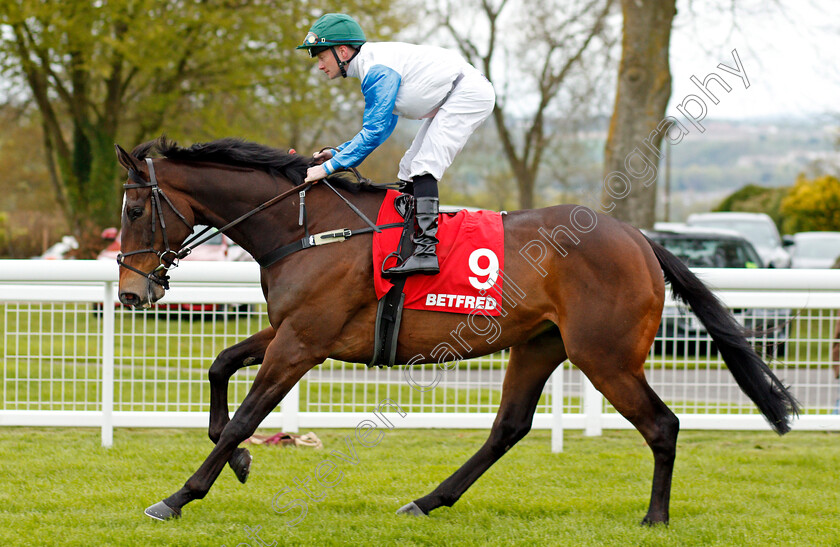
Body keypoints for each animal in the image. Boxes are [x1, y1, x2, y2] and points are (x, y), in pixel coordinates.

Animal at [115, 137, 796, 528]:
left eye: (134, 208)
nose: (130, 292)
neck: (308, 229)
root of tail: (639, 238)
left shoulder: (302, 342)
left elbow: (243, 416)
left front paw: (179, 496)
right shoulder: (294, 332)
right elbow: (221, 366)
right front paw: (241, 464)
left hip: (605, 357)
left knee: (662, 424)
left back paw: (655, 518)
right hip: (540, 344)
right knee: (509, 427)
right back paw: (428, 500)